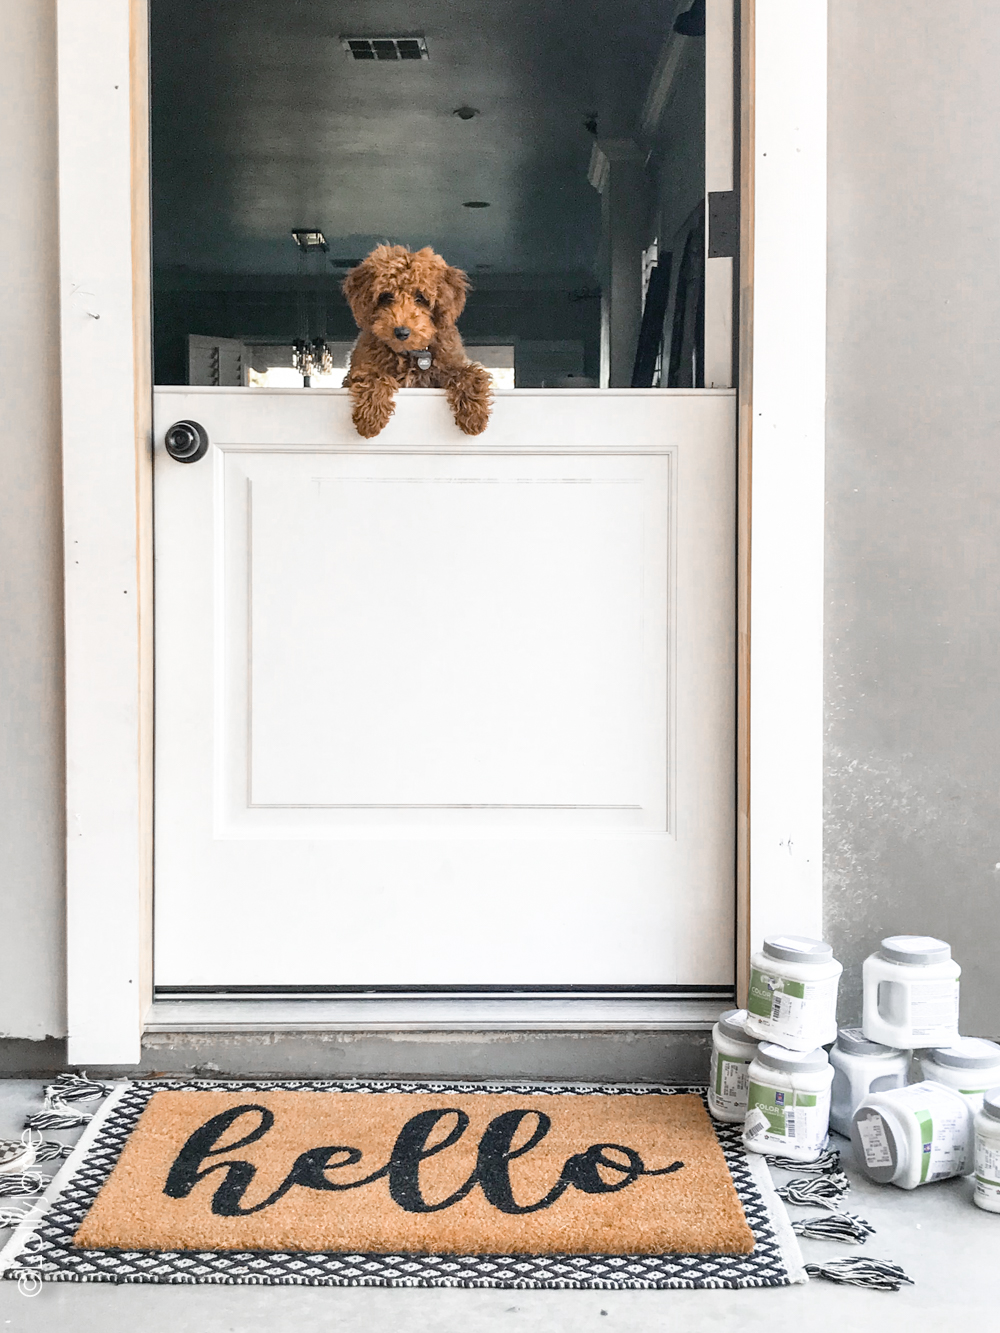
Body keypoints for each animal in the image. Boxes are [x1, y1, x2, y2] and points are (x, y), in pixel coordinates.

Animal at [344, 245, 496, 437]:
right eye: (386, 296)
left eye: (420, 297)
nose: (401, 332)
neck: (411, 353)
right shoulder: (360, 367)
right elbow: (373, 375)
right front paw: (370, 419)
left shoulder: (451, 362)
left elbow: (469, 373)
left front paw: (475, 417)